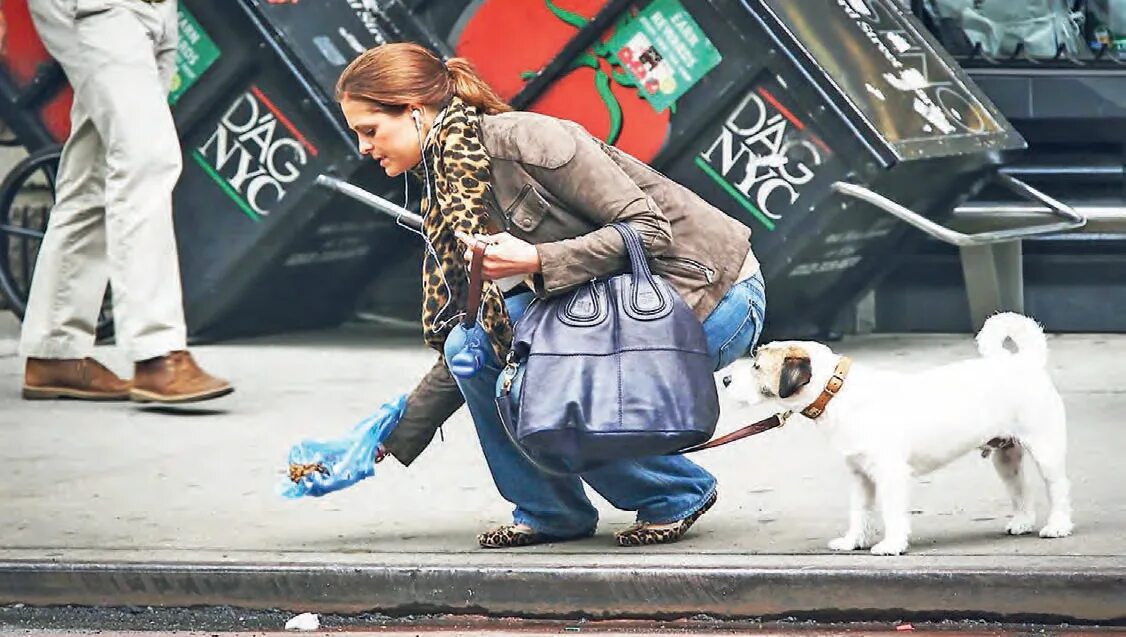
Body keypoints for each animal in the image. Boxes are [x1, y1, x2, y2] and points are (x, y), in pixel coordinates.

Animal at [729, 315, 1071, 558]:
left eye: (757, 365)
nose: (726, 379)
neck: (838, 392)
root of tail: (1025, 362)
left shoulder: (889, 474)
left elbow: (891, 512)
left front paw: (891, 545)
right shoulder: (860, 476)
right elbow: (860, 512)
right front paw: (853, 541)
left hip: (1046, 450)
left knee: (1058, 488)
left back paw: (1058, 526)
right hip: (1006, 456)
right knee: (1020, 487)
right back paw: (1023, 521)